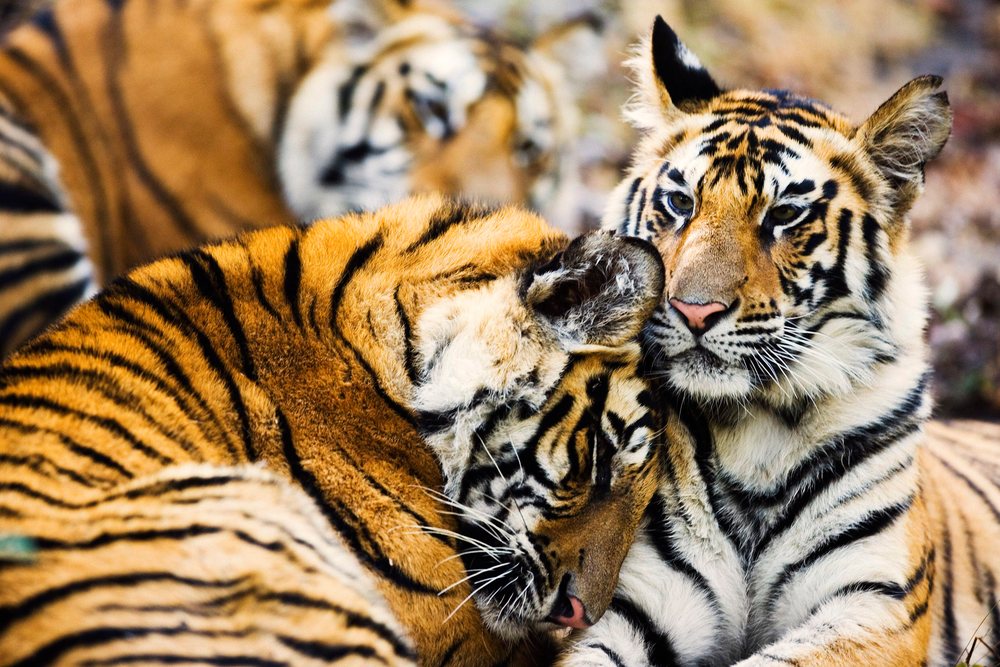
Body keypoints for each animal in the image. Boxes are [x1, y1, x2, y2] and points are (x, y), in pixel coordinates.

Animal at [554, 17, 1000, 667]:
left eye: (785, 215)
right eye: (680, 202)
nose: (694, 309)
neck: (756, 431)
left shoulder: (874, 604)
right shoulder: (632, 604)